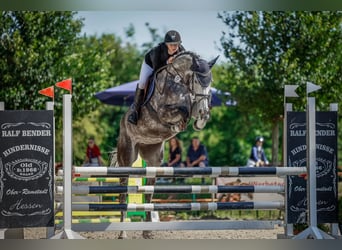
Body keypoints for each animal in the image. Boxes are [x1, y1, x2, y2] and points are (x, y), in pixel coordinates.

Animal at [114, 50, 216, 238]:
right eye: (197, 81)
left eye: (210, 82)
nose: (204, 113)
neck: (179, 81)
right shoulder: (162, 112)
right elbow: (182, 110)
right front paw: (182, 122)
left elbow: (190, 109)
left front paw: (199, 119)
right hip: (127, 157)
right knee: (123, 194)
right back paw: (122, 232)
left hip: (153, 160)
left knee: (148, 196)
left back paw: (147, 232)